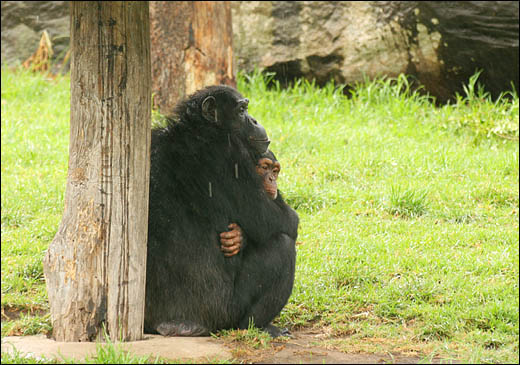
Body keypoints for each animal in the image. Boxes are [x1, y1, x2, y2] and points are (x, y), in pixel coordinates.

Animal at [145, 84, 300, 336]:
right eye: (242, 110)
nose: (254, 120)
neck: (199, 130)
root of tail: (175, 324)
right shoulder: (233, 155)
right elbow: (278, 220)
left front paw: (238, 238)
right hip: (226, 313)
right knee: (283, 244)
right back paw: (261, 326)